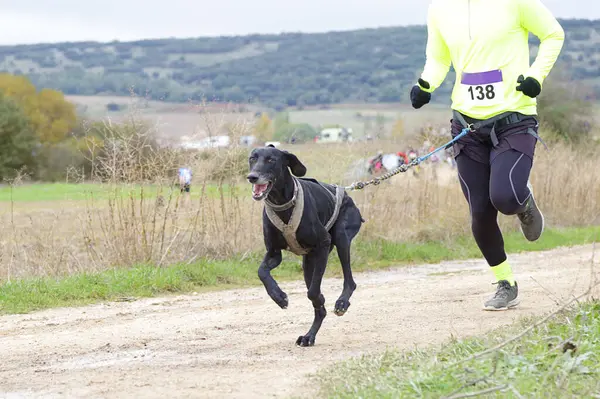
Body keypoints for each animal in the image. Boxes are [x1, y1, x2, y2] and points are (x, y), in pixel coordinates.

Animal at [246, 146, 364, 346]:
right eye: (252, 158)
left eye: (271, 160)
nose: (252, 177)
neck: (282, 203)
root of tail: (345, 192)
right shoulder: (274, 253)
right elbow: (262, 272)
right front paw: (279, 297)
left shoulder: (323, 244)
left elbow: (313, 292)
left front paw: (319, 297)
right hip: (308, 263)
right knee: (320, 309)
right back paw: (309, 336)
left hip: (341, 237)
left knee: (349, 281)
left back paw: (341, 303)